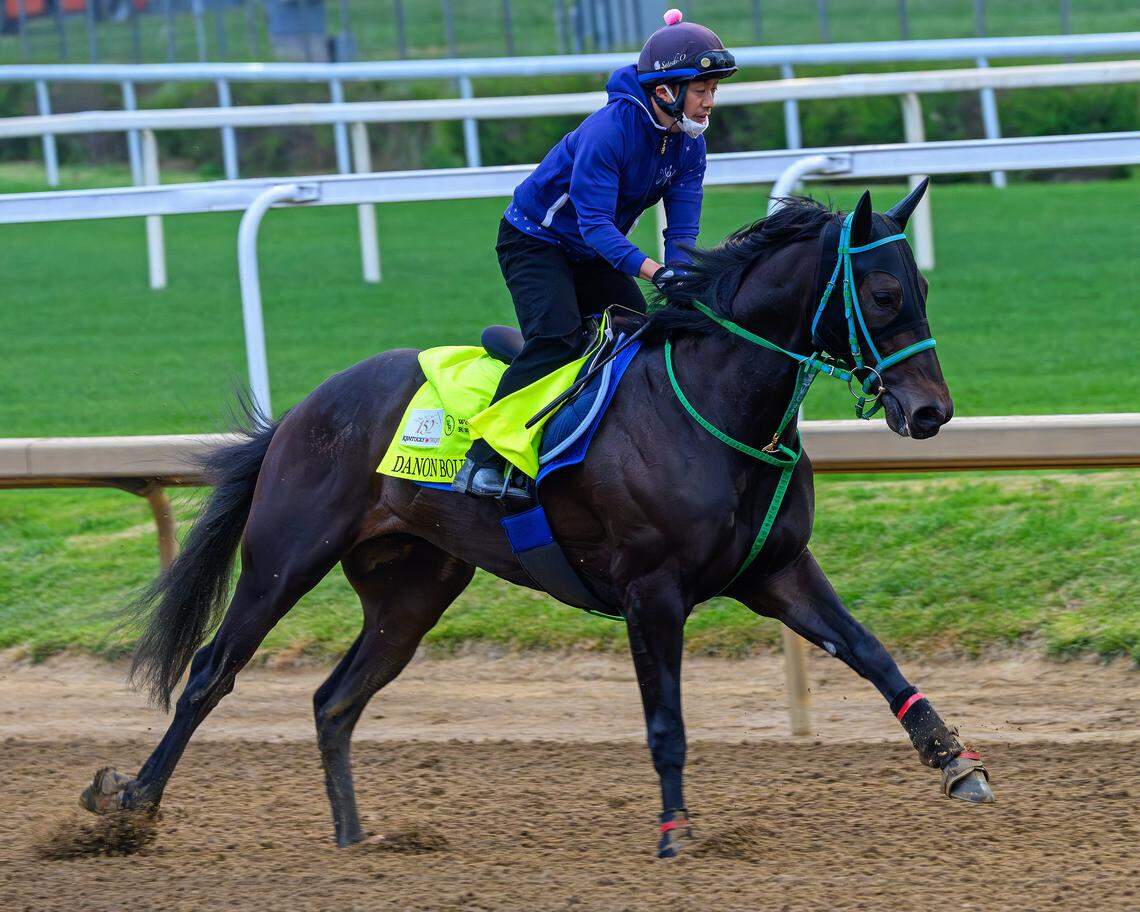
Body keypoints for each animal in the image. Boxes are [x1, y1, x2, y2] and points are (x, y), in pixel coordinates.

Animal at [81, 182, 994, 859]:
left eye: (922, 288)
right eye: (883, 294)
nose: (930, 412)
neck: (712, 404)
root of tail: (304, 410)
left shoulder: (775, 571)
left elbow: (871, 653)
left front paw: (955, 761)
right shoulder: (651, 591)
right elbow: (666, 719)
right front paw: (674, 832)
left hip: (411, 590)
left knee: (335, 701)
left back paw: (354, 839)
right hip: (284, 558)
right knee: (211, 672)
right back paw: (131, 804)